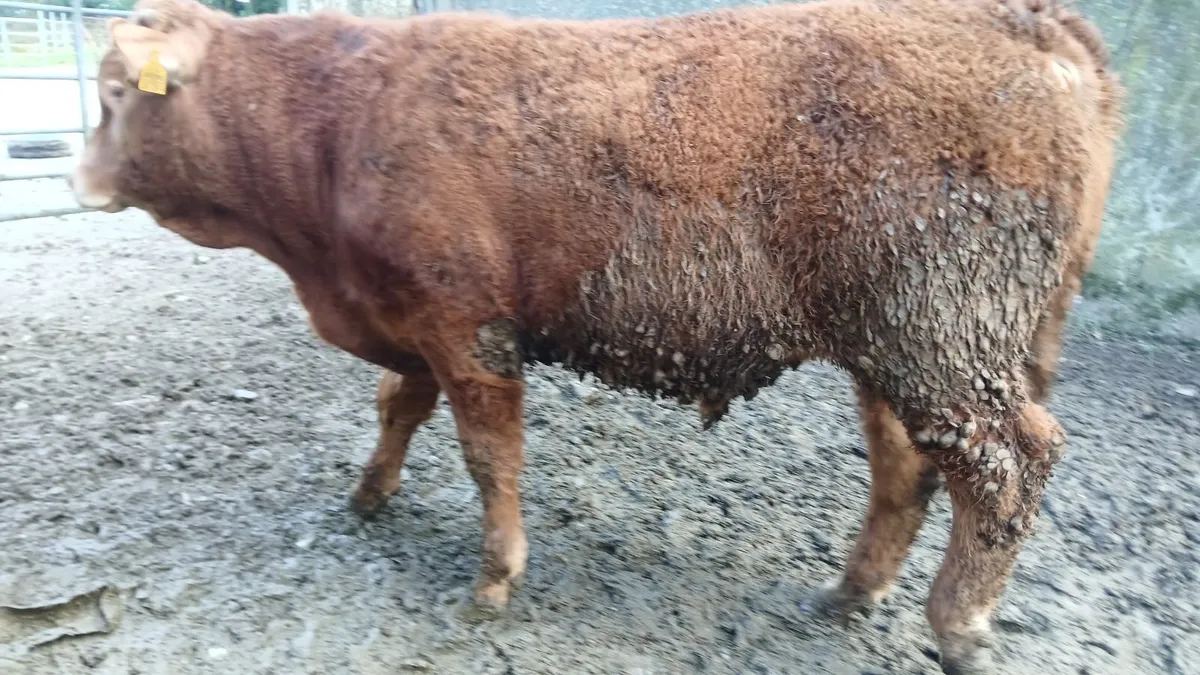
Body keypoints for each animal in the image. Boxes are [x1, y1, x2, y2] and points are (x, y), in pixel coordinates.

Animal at [68, 0, 1122, 671]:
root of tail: (1026, 18)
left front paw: (493, 580)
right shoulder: (410, 319)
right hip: (897, 342)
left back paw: (962, 626)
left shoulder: (467, 325)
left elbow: (490, 454)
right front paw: (370, 493)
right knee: (908, 465)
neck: (338, 118)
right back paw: (851, 594)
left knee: (1007, 462)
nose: (76, 178)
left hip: (944, 334)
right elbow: (396, 405)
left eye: (116, 92)